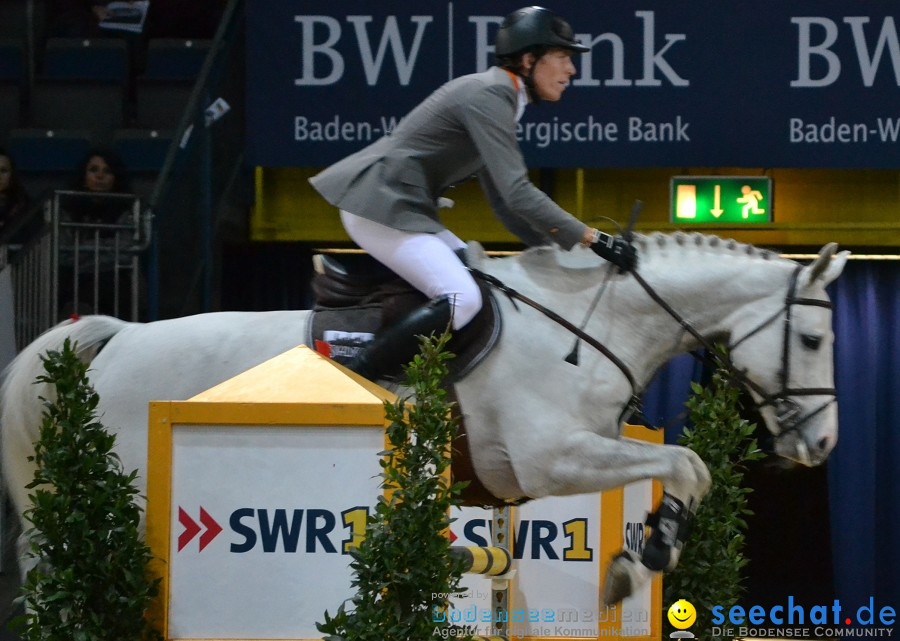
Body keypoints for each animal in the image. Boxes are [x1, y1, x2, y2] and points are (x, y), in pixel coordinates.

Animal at [0, 232, 848, 604]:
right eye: (811, 340)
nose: (823, 443)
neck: (591, 321)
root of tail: (119, 335)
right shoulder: (554, 457)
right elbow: (687, 463)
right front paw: (643, 559)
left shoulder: (570, 458)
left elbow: (683, 467)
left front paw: (645, 552)